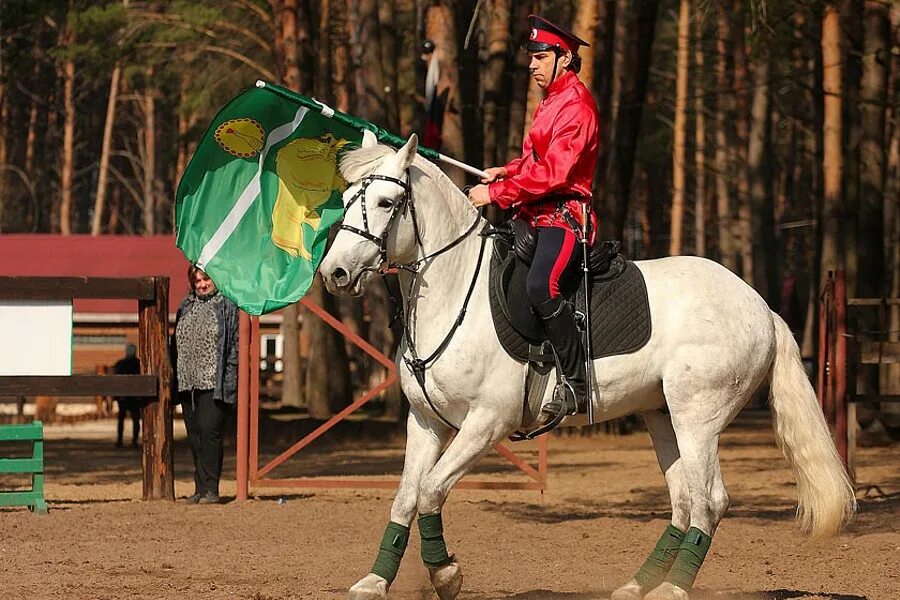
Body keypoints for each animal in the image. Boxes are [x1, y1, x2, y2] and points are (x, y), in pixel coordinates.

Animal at [318, 134, 856, 600]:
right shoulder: (426, 421)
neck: (453, 292)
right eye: (345, 197)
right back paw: (638, 585)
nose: (333, 273)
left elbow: (430, 489)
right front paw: (374, 581)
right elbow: (406, 496)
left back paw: (673, 588)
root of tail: (761, 306)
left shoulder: (487, 423)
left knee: (710, 501)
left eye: (387, 202)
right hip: (662, 416)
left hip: (698, 417)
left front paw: (446, 575)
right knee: (684, 500)